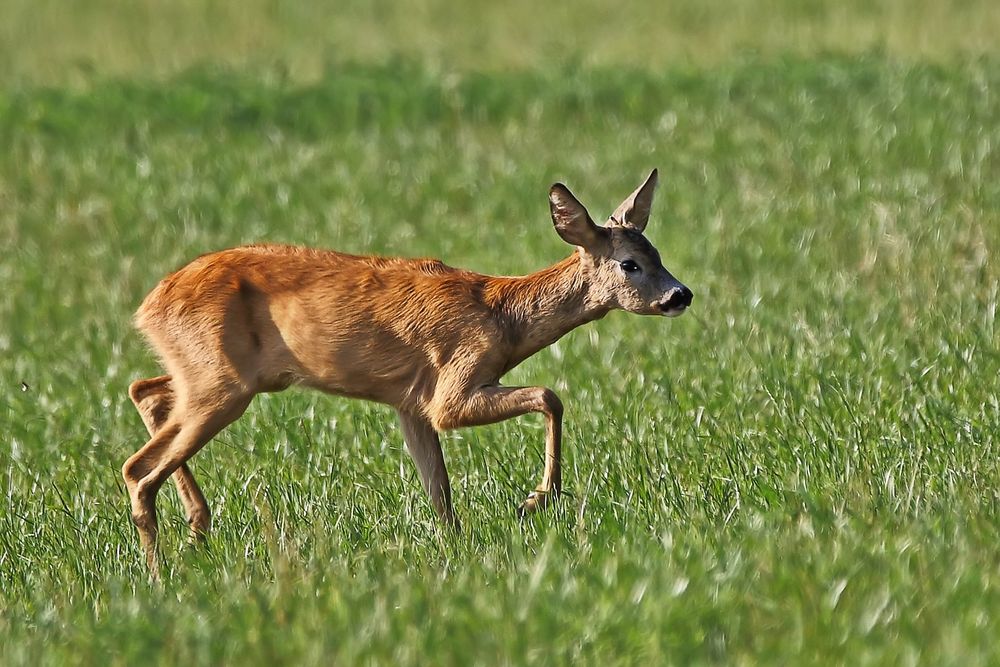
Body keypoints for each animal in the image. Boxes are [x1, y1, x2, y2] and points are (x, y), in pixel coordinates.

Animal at [121, 170, 692, 576]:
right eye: (629, 264)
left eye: (658, 253)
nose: (680, 295)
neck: (502, 315)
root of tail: (148, 306)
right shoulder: (450, 390)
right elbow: (550, 395)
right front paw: (536, 500)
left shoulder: (410, 404)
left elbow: (439, 492)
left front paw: (458, 551)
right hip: (222, 385)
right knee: (137, 468)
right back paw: (159, 573)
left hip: (212, 374)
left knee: (144, 390)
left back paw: (196, 533)